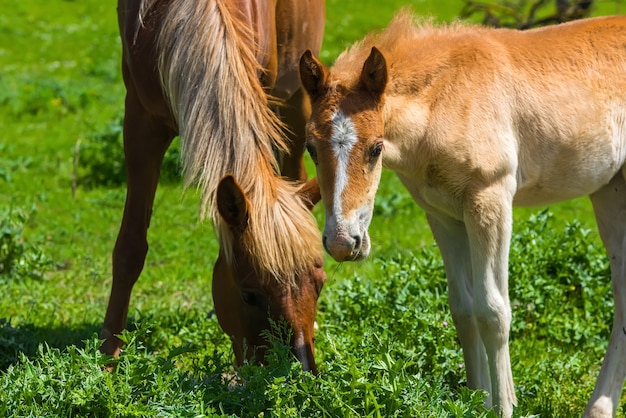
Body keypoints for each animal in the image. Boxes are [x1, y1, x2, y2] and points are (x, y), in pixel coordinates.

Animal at [99, 0, 324, 374]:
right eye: (250, 295)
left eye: (320, 285)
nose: (300, 372)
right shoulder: (140, 123)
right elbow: (130, 247)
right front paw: (107, 358)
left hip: (295, 87)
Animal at [298, 9, 624, 418]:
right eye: (311, 147)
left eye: (376, 148)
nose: (343, 242)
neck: (444, 99)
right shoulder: (442, 215)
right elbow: (463, 310)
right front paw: (477, 401)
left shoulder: (490, 201)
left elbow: (493, 311)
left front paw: (503, 406)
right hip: (609, 191)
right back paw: (600, 407)